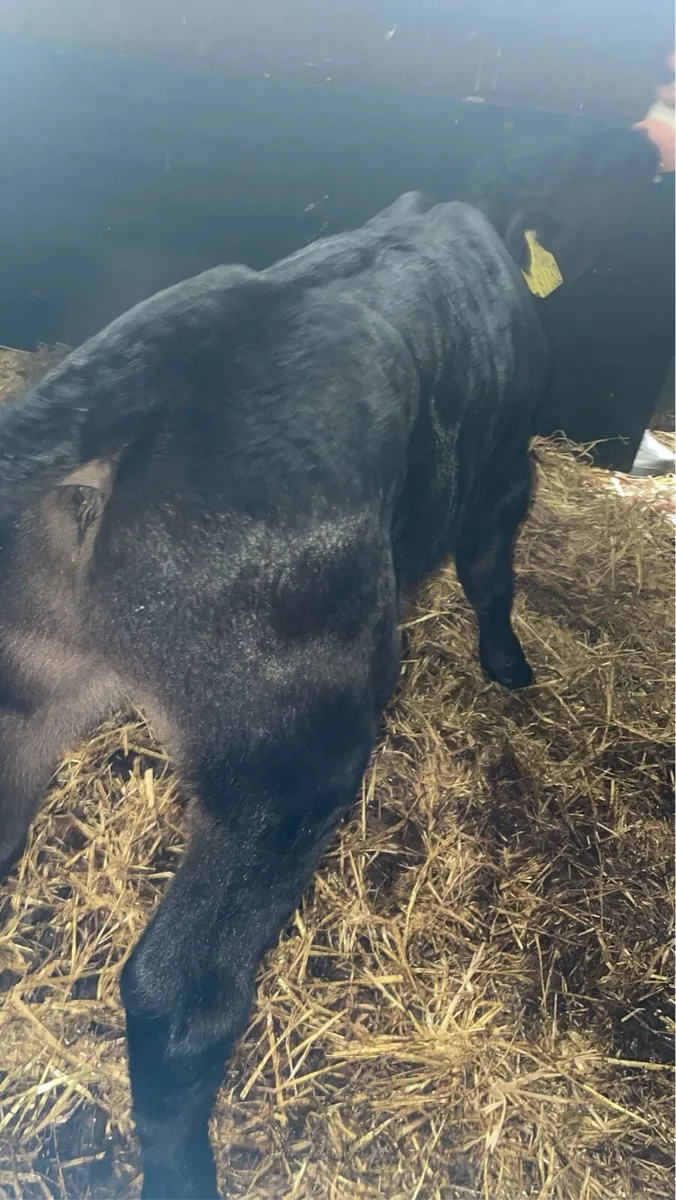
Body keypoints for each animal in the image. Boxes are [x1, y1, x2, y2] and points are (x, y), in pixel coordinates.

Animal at [0, 126, 659, 1197]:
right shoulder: (503, 470)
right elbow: (492, 571)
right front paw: (509, 663)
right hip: (291, 756)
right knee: (181, 994)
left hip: (28, 683)